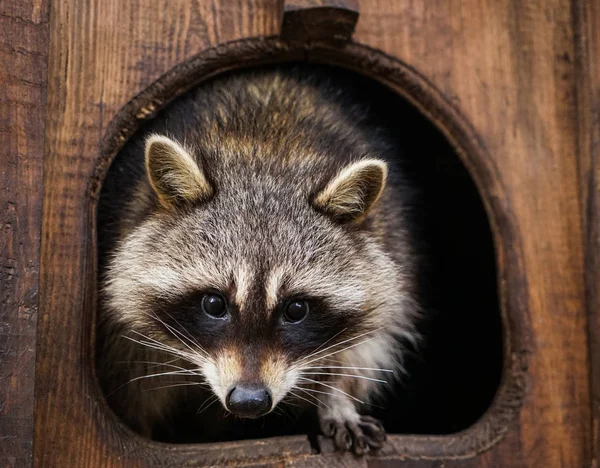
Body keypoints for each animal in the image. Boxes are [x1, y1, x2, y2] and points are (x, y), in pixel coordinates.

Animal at [97, 65, 418, 454]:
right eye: (214, 303)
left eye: (296, 309)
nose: (248, 401)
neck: (267, 158)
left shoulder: (389, 243)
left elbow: (363, 344)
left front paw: (337, 398)